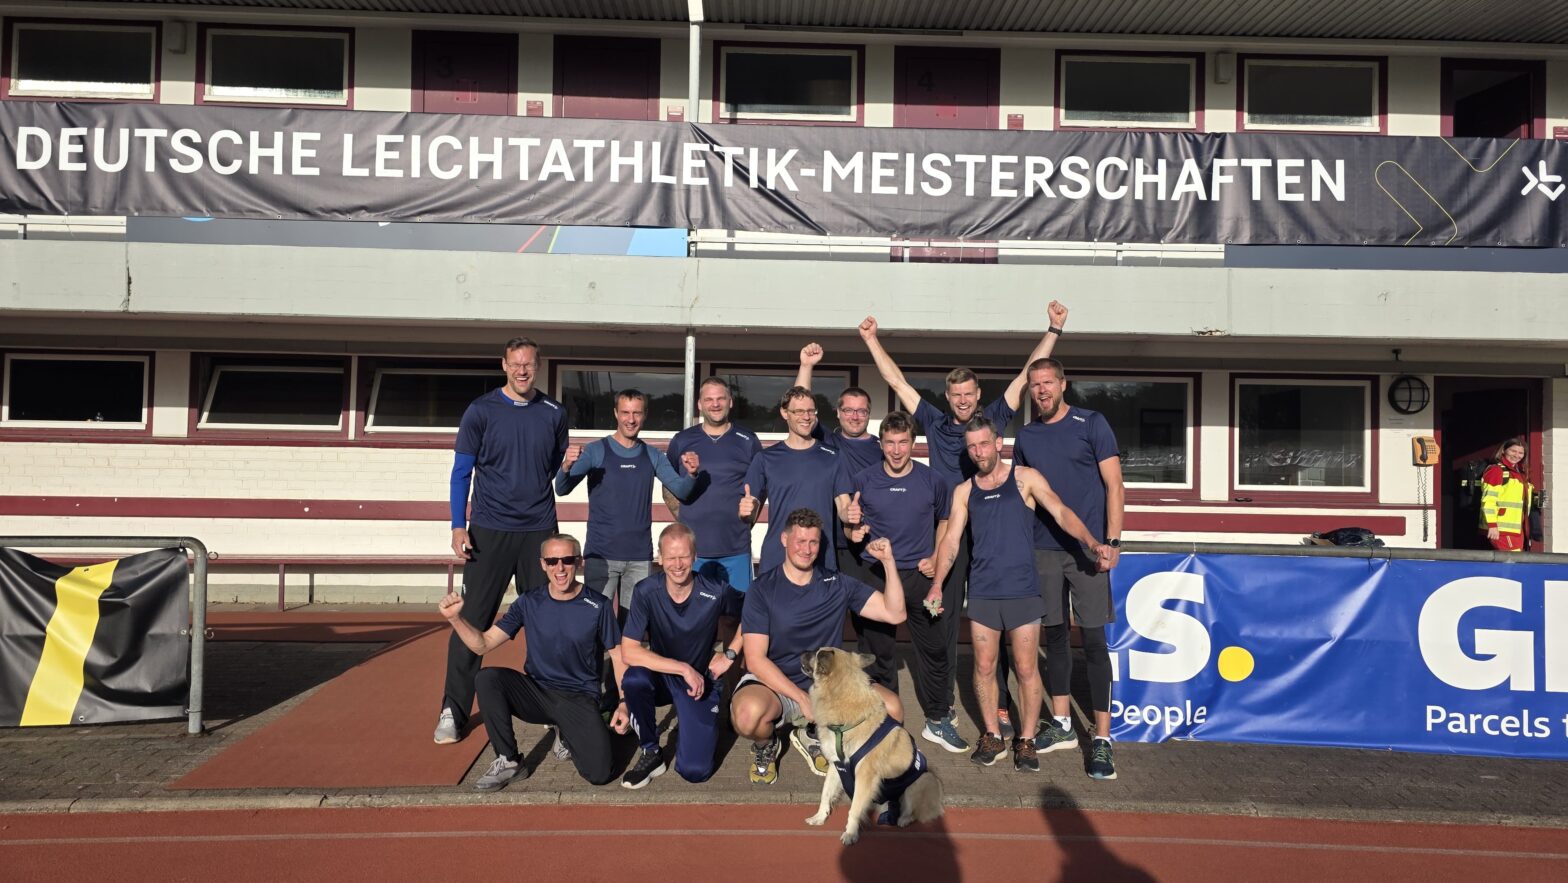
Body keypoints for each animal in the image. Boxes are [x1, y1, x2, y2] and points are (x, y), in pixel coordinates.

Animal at [800, 647, 944, 845]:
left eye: (816, 653)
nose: (803, 652)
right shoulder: (836, 766)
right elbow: (826, 794)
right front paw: (820, 817)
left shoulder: (865, 777)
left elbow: (854, 808)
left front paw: (850, 833)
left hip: (921, 781)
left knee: (913, 812)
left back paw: (903, 819)